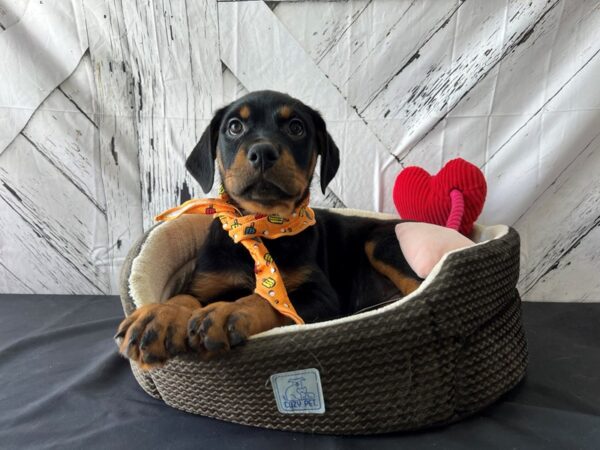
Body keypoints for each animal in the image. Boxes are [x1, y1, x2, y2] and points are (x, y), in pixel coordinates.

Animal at [115, 89, 420, 368]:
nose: (262, 152)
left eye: (296, 127)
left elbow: (270, 300)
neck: (261, 227)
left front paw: (228, 311)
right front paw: (159, 316)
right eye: (234, 126)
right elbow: (184, 297)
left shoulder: (321, 295)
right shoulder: (207, 282)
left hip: (379, 242)